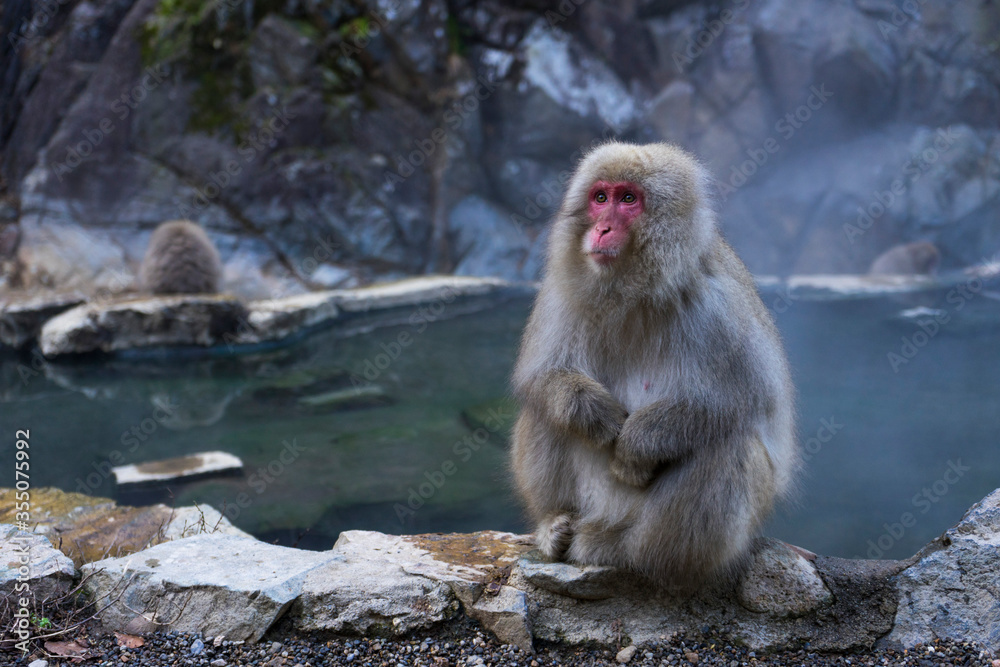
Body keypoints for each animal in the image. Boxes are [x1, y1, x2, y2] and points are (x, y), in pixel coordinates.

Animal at [510, 141, 797, 589]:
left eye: (629, 199)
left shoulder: (716, 306)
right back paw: (555, 524)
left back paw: (627, 551)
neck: (634, 291)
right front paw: (592, 412)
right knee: (543, 411)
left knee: (730, 445)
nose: (602, 229)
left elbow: (746, 400)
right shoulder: (563, 290)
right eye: (600, 197)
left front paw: (636, 444)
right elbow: (543, 376)